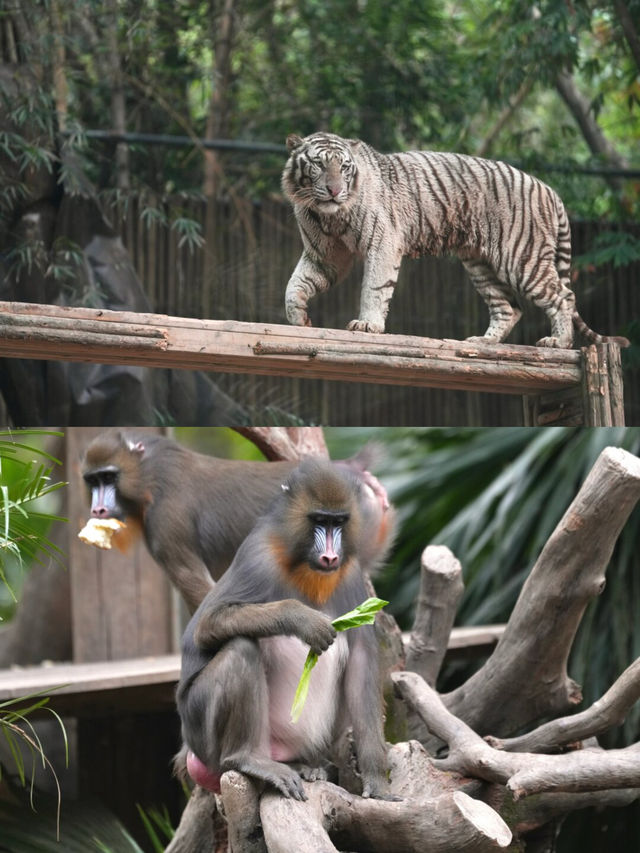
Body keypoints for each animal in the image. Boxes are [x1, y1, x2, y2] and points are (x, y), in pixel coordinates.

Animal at [282, 131, 628, 350]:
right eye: (318, 164)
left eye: (344, 166)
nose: (335, 191)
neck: (328, 214)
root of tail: (549, 189)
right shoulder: (325, 256)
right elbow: (294, 285)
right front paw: (299, 320)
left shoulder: (382, 242)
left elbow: (374, 287)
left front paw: (368, 325)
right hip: (480, 263)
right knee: (509, 308)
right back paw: (483, 342)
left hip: (521, 258)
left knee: (562, 297)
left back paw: (559, 343)